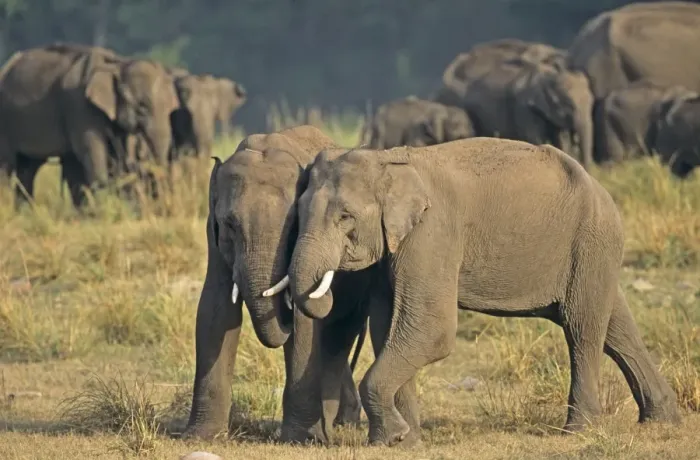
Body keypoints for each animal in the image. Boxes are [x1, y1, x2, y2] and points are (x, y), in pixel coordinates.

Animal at [0, 42, 179, 208]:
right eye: (142, 108)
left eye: (171, 110)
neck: (117, 64)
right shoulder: (79, 106)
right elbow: (92, 152)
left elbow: (118, 158)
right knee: (8, 166)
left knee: (29, 168)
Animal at [185, 125, 375, 445]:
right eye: (230, 225)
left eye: (292, 226)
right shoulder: (212, 233)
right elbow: (215, 309)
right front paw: (200, 437)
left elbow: (304, 323)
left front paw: (301, 439)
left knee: (340, 334)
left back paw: (338, 424)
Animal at [285, 138, 681, 447]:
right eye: (298, 213)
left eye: (345, 217)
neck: (387, 158)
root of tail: (601, 189)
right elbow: (388, 328)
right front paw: (402, 441)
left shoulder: (433, 233)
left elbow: (431, 329)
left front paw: (394, 438)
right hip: (591, 250)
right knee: (615, 326)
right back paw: (663, 419)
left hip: (591, 240)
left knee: (581, 327)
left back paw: (577, 431)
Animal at [462, 59, 594, 170]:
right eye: (568, 104)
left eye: (591, 102)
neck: (549, 75)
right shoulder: (524, 108)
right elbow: (535, 138)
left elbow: (560, 141)